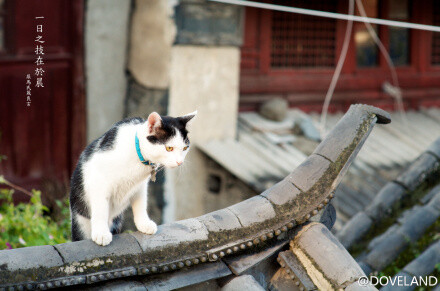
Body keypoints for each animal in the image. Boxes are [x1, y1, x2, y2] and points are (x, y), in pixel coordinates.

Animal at [69, 112, 196, 246]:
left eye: (185, 148)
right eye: (169, 148)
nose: (180, 162)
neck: (137, 154)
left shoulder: (140, 186)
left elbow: (141, 203)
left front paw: (144, 224)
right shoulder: (99, 180)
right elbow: (101, 208)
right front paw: (101, 233)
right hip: (80, 220)